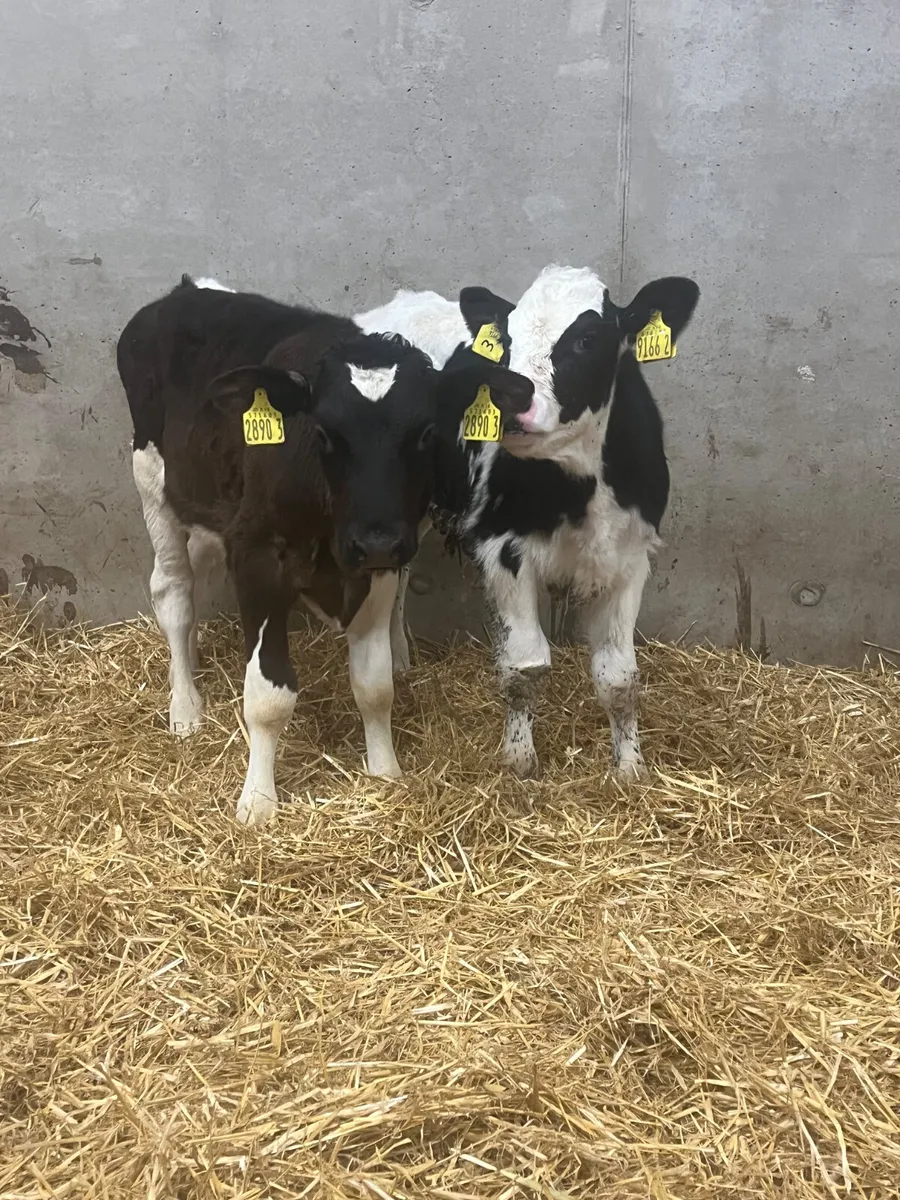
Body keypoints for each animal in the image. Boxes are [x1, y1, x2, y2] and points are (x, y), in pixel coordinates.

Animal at [117, 276, 534, 826]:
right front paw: (258, 801)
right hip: (152, 479)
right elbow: (268, 696)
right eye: (323, 433)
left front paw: (385, 772)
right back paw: (185, 706)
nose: (377, 539)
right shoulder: (257, 556)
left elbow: (375, 686)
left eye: (426, 433)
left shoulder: (376, 564)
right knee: (173, 592)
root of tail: (186, 290)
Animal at [357, 266, 700, 780]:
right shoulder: (503, 550)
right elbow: (526, 667)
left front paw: (629, 769)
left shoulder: (630, 558)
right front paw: (520, 762)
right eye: (507, 340)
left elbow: (618, 677)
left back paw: (399, 658)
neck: (580, 488)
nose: (508, 393)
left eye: (587, 338)